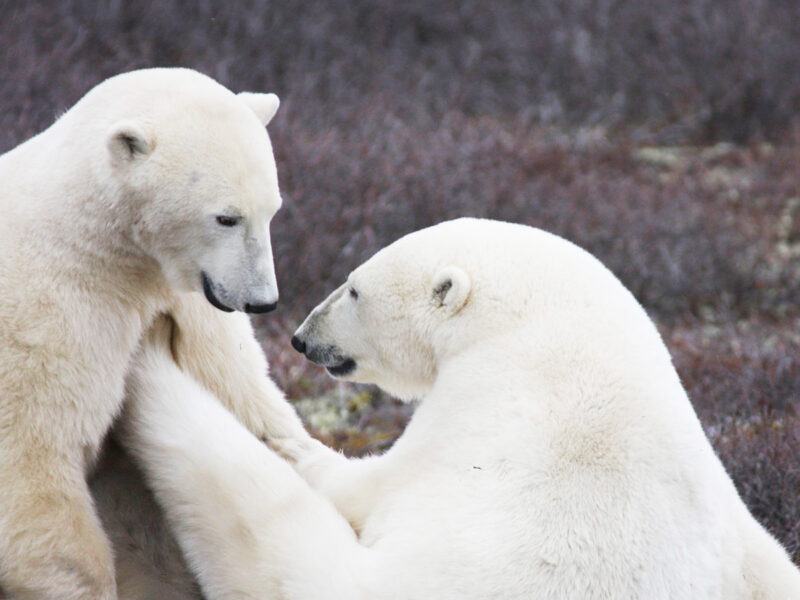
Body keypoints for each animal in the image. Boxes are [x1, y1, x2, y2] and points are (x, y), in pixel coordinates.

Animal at [0, 70, 318, 600]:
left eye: (272, 209)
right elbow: (33, 469)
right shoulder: (47, 317)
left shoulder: (187, 305)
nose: (262, 300)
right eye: (226, 216)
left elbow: (247, 405)